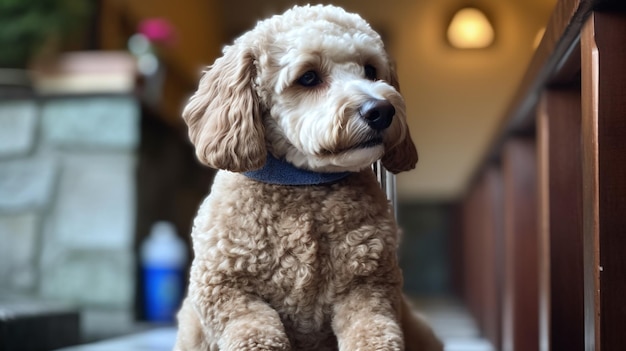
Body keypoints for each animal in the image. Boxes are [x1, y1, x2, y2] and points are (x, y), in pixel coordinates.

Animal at [173, 4, 442, 351]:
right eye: (309, 77)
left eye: (371, 70)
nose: (381, 110)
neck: (304, 183)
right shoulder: (227, 292)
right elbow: (254, 329)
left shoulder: (368, 289)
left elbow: (373, 333)